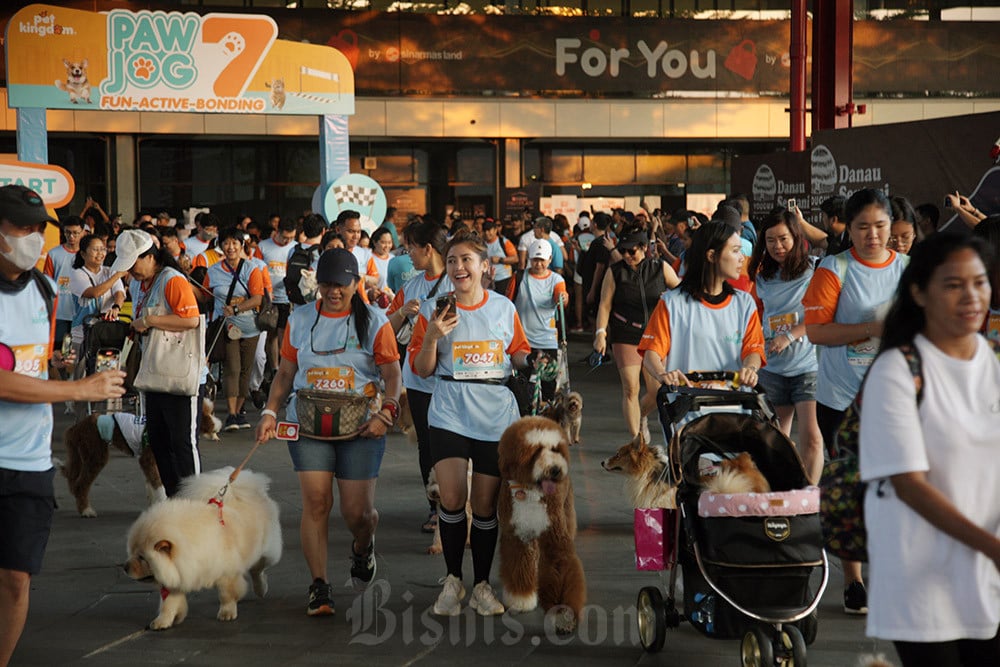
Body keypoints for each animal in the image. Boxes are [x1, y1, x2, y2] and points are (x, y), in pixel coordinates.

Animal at [498, 418, 584, 636]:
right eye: (536, 451)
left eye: (555, 449)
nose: (555, 469)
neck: (531, 492)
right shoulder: (518, 536)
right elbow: (519, 566)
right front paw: (521, 599)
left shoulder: (555, 537)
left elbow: (560, 564)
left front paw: (563, 616)